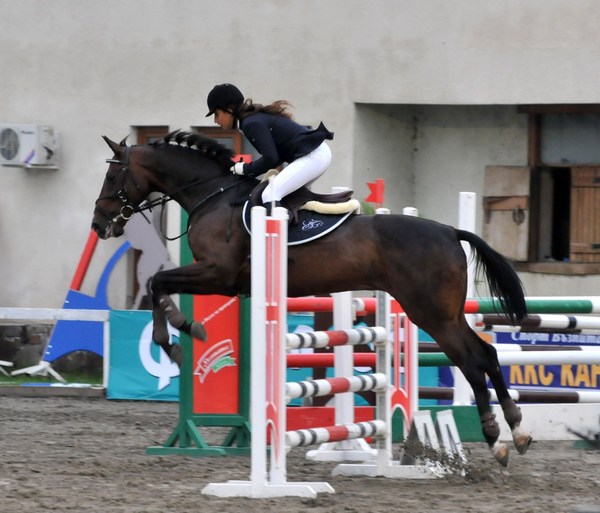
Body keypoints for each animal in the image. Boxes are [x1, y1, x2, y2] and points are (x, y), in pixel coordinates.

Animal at [94, 129, 536, 464]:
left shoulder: (218, 274)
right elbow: (160, 285)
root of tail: (448, 231)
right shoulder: (219, 278)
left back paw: (496, 438)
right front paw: (181, 333)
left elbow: (158, 283)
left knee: (471, 361)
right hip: (447, 313)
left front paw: (178, 338)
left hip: (431, 314)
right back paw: (516, 431)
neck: (212, 195)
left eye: (113, 178)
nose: (100, 225)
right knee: (487, 354)